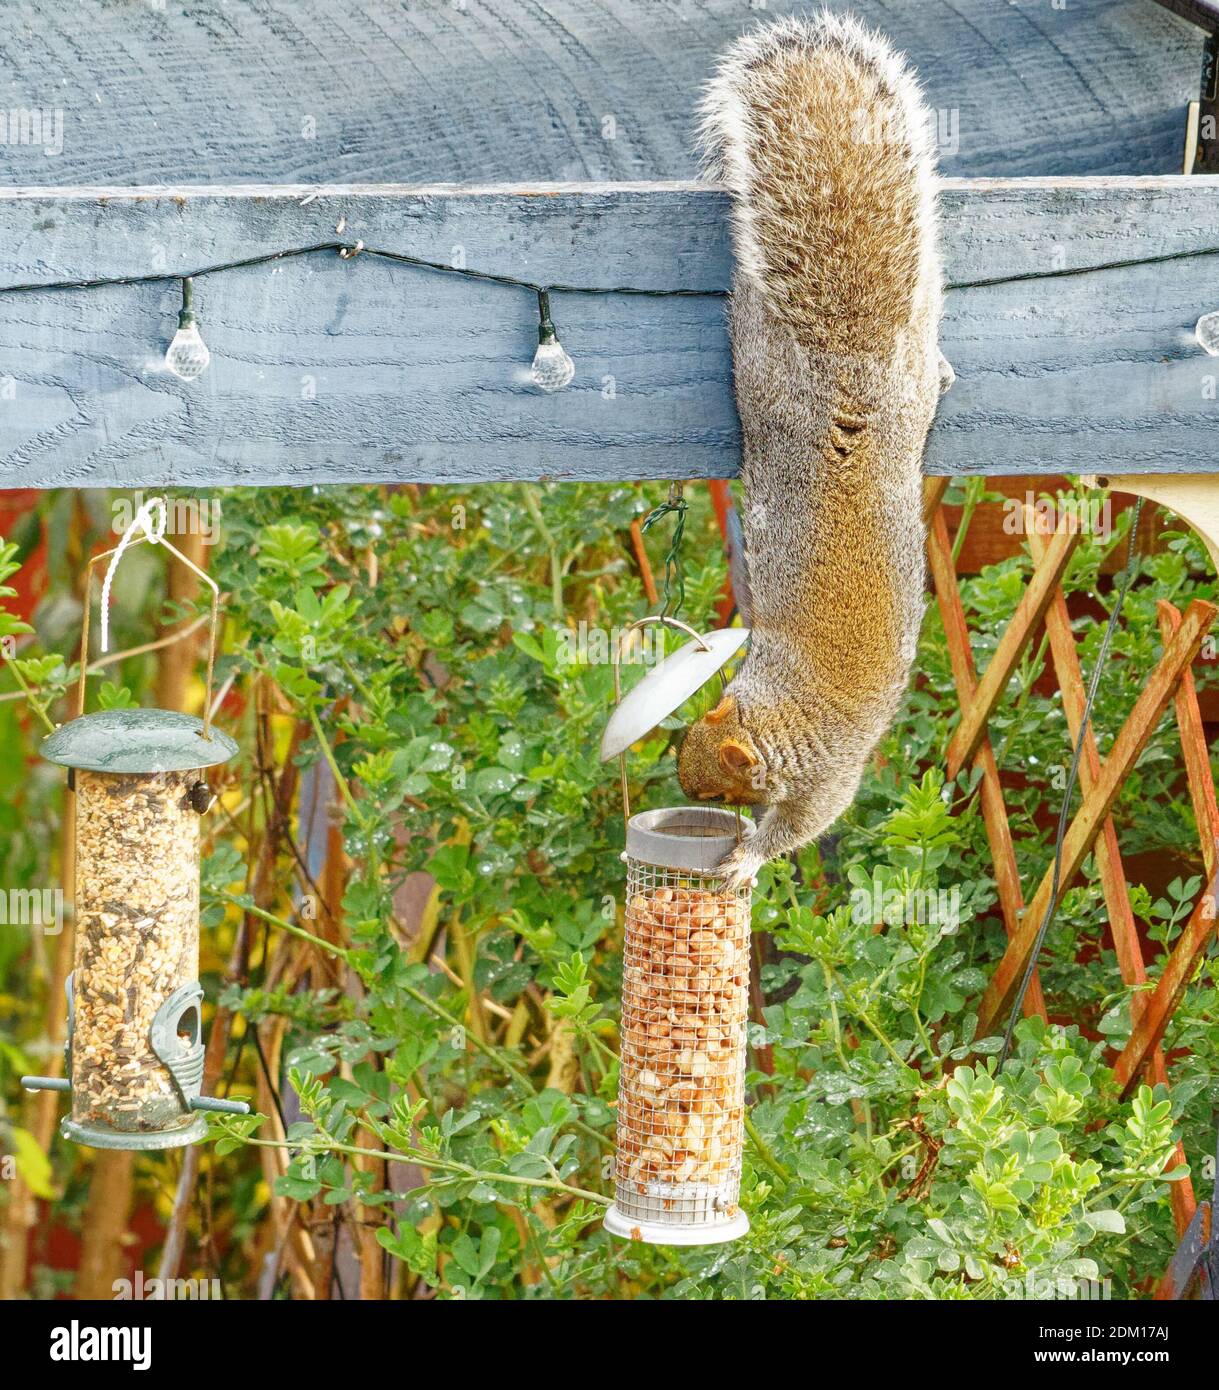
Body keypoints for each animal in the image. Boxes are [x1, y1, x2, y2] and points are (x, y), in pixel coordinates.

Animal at [677, 12, 952, 888]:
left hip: (766, 367)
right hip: (896, 379)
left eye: (716, 790)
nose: (683, 794)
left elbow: (805, 823)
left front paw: (745, 858)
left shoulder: (831, 776)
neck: (787, 705)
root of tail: (845, 364)